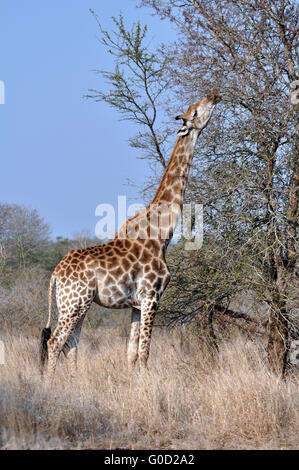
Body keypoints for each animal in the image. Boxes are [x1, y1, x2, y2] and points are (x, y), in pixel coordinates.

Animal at [40, 92, 220, 382]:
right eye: (195, 112)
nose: (214, 95)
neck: (162, 235)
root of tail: (56, 273)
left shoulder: (136, 304)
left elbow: (131, 353)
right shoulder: (151, 296)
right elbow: (145, 352)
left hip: (78, 305)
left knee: (71, 344)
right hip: (74, 303)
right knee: (55, 342)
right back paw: (48, 385)